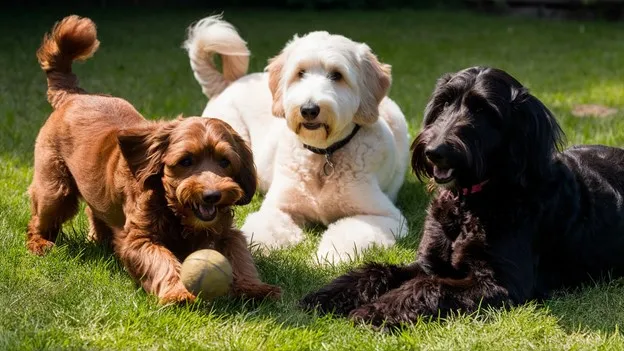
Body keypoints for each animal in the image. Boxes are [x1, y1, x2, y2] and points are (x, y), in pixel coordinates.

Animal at [183, 16, 412, 264]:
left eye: (337, 75)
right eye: (300, 73)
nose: (309, 109)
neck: (323, 156)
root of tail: (227, 83)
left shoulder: (385, 216)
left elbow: (348, 232)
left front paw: (329, 256)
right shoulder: (277, 208)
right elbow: (262, 229)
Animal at [300, 67, 624, 328]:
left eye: (484, 111)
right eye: (444, 103)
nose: (435, 151)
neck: (472, 203)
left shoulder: (501, 283)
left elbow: (428, 286)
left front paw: (375, 311)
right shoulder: (429, 262)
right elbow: (379, 270)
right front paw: (331, 294)